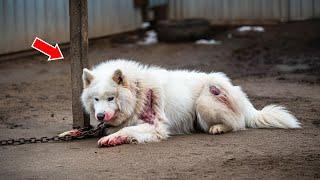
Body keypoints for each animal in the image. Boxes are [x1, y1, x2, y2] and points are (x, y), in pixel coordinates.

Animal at [59, 59, 300, 147]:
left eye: (111, 98)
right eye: (96, 99)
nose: (100, 115)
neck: (138, 92)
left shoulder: (155, 126)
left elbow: (127, 130)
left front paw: (112, 138)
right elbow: (94, 129)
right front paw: (70, 133)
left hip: (205, 100)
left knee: (238, 123)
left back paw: (218, 128)